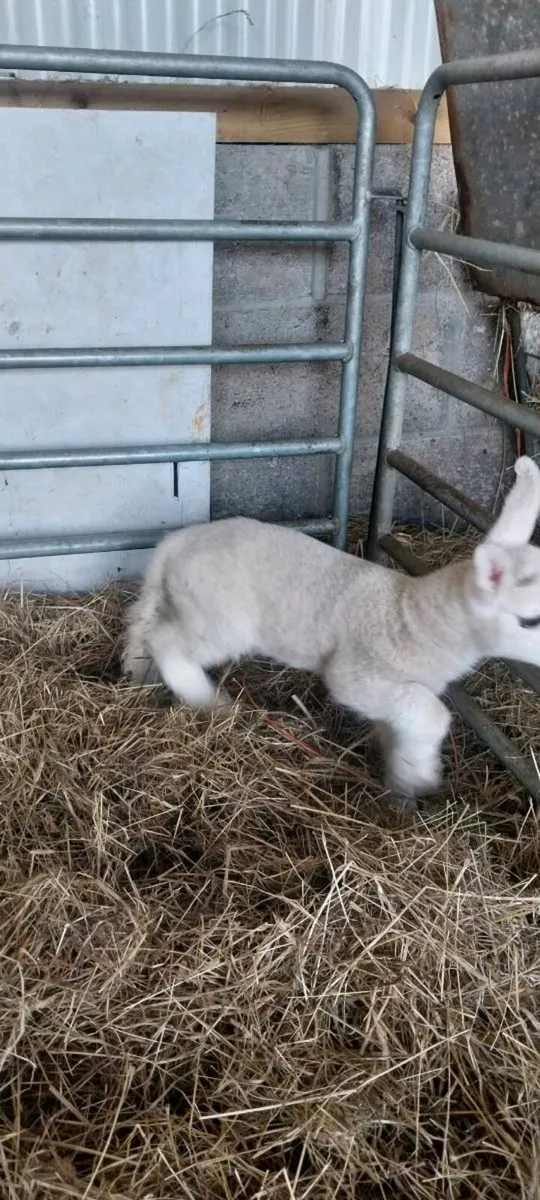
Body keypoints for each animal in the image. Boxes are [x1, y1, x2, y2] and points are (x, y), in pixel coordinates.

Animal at [122, 455, 540, 800]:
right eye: (530, 620)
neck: (415, 615)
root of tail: (175, 544)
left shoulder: (392, 696)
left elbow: (402, 730)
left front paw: (403, 785)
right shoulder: (357, 675)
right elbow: (431, 714)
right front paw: (421, 777)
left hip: (181, 601)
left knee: (143, 623)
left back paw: (137, 675)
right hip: (219, 620)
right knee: (167, 643)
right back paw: (209, 701)